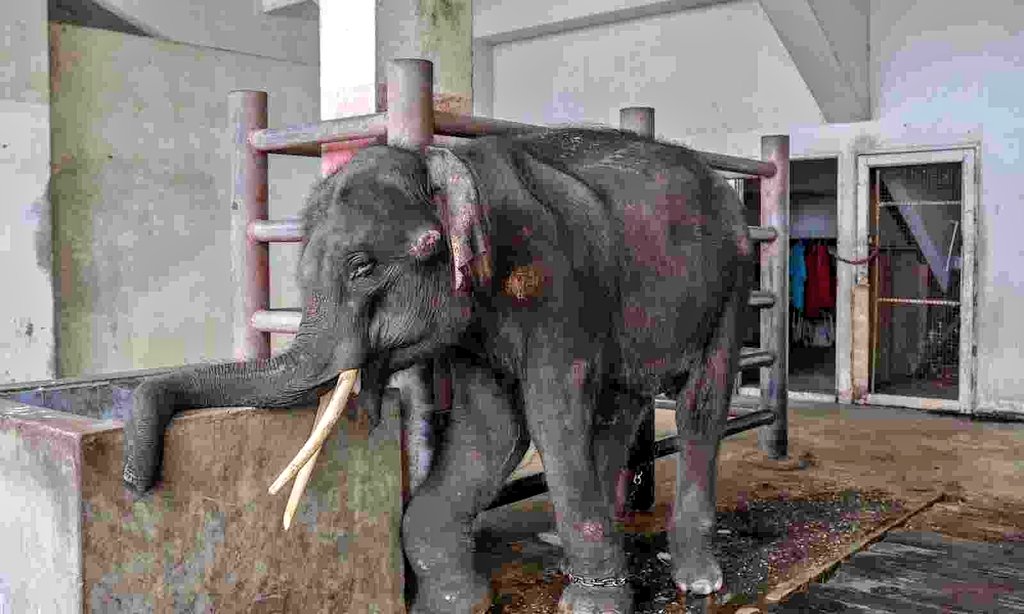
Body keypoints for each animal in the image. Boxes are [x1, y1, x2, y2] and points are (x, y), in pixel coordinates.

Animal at [122, 127, 754, 613]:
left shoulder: (556, 285)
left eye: (361, 267)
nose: (136, 483)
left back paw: (698, 579)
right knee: (621, 408)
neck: (447, 163)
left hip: (733, 281)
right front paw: (454, 602)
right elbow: (489, 428)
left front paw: (591, 607)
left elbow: (552, 415)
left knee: (700, 406)